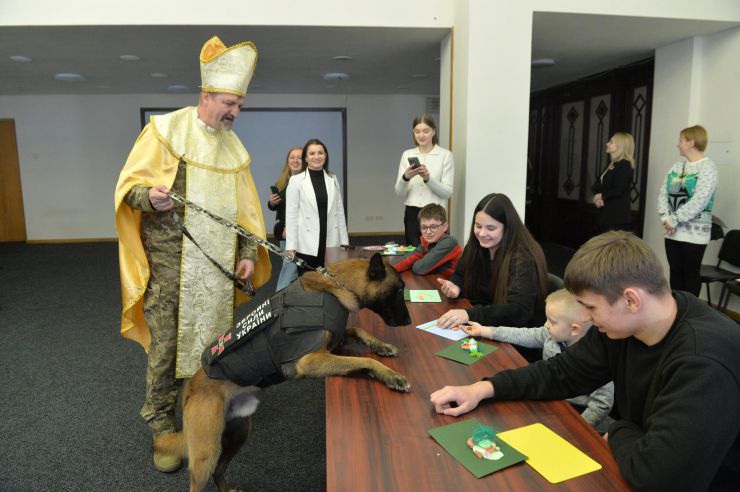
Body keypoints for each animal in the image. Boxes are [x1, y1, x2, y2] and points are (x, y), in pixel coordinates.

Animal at [154, 254, 414, 492]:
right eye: (400, 289)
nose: (409, 321)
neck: (336, 286)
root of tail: (190, 388)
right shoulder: (312, 360)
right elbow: (364, 359)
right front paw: (391, 375)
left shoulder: (335, 344)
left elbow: (359, 330)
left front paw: (382, 346)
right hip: (205, 454)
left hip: (238, 434)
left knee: (220, 469)